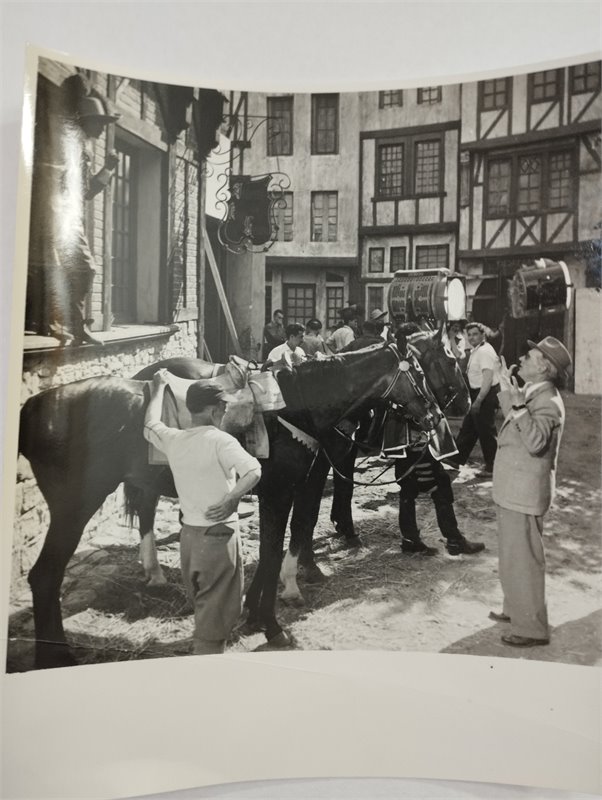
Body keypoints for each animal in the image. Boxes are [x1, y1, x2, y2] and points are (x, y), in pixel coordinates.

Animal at [18, 340, 440, 664]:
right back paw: (57, 655)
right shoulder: (278, 493)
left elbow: (276, 550)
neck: (291, 408)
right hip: (74, 507)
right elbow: (273, 552)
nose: (435, 415)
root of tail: (33, 407)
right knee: (45, 575)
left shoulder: (288, 491)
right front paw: (272, 624)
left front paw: (254, 613)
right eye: (419, 373)